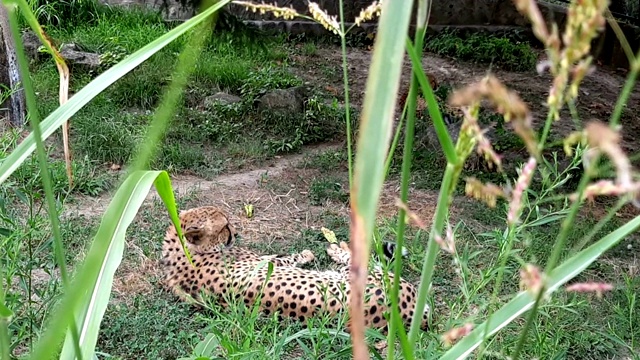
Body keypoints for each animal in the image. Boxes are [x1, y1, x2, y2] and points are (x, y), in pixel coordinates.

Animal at [159, 207, 430, 334]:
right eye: (225, 226)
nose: (235, 233)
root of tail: (414, 315)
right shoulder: (266, 263)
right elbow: (286, 258)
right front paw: (307, 254)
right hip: (365, 278)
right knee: (364, 263)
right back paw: (338, 249)